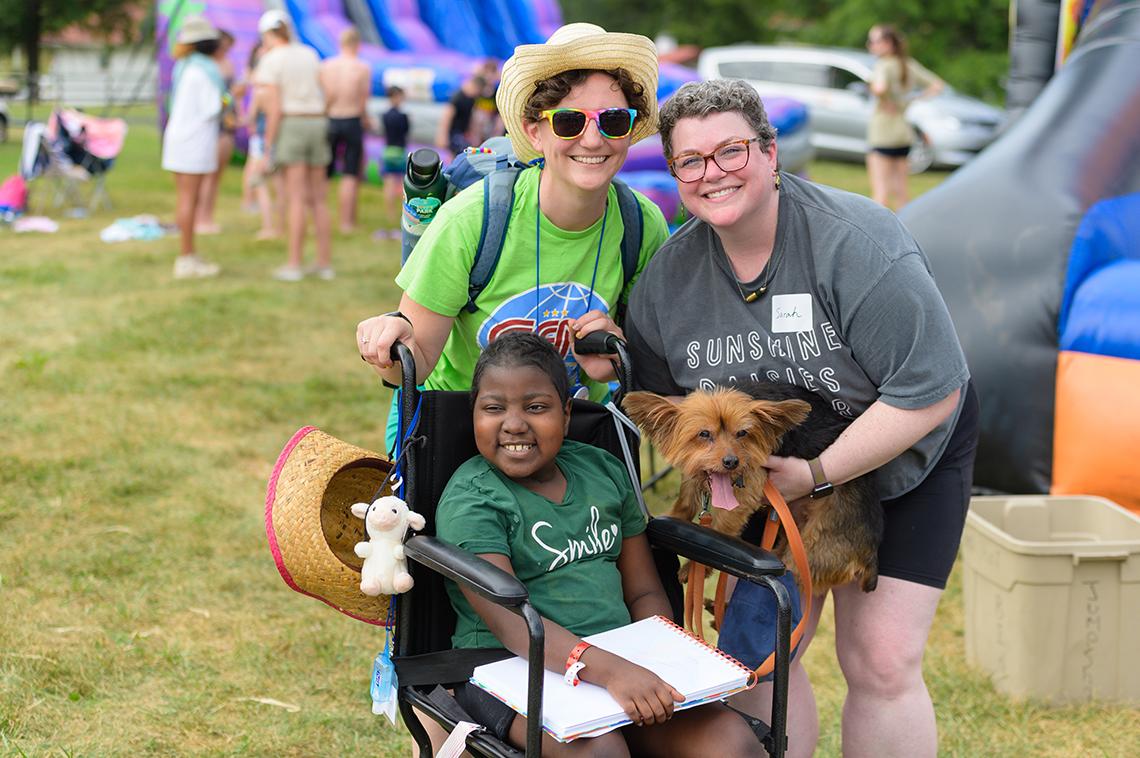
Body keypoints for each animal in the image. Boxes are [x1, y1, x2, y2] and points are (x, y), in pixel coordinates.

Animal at [624, 380, 880, 592]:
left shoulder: (747, 489)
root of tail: (870, 554)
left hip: (811, 552)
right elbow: (686, 499)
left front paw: (693, 568)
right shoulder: (694, 473)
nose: (731, 462)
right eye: (704, 434)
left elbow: (720, 528)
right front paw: (666, 522)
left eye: (742, 433)